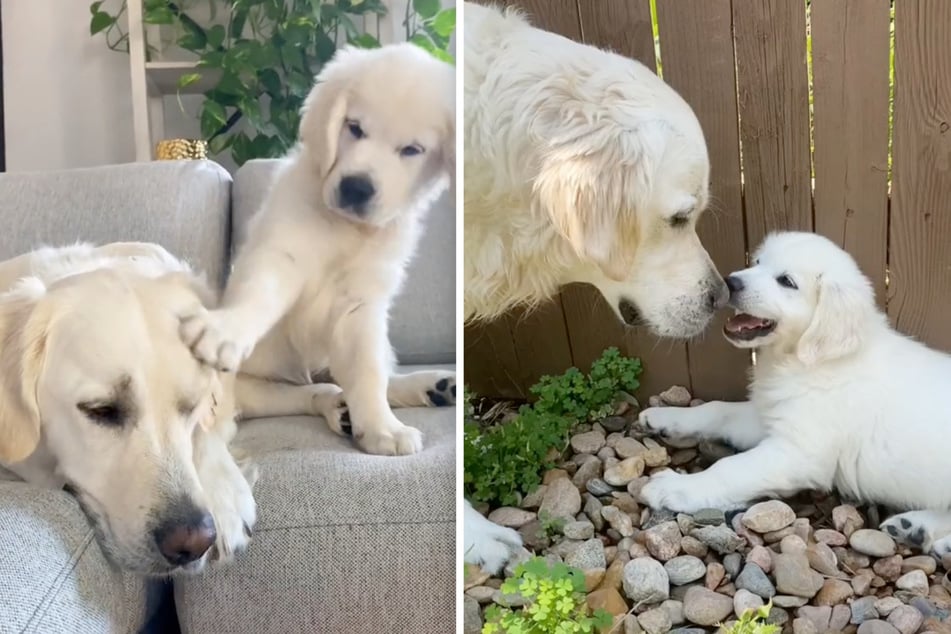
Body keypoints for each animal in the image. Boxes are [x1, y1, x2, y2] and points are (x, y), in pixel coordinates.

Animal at [183, 43, 462, 454]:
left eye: (412, 149)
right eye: (355, 128)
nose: (356, 188)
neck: (346, 228)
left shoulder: (361, 304)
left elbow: (367, 373)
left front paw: (382, 429)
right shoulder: (281, 255)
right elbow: (258, 297)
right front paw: (225, 328)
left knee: (369, 377)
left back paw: (434, 386)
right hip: (254, 390)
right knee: (318, 391)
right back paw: (340, 409)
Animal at [640, 230, 951, 556]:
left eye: (786, 281)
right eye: (758, 262)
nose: (730, 282)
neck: (807, 361)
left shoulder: (797, 452)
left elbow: (730, 468)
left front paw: (672, 487)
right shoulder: (768, 416)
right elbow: (716, 409)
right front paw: (665, 416)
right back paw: (914, 529)